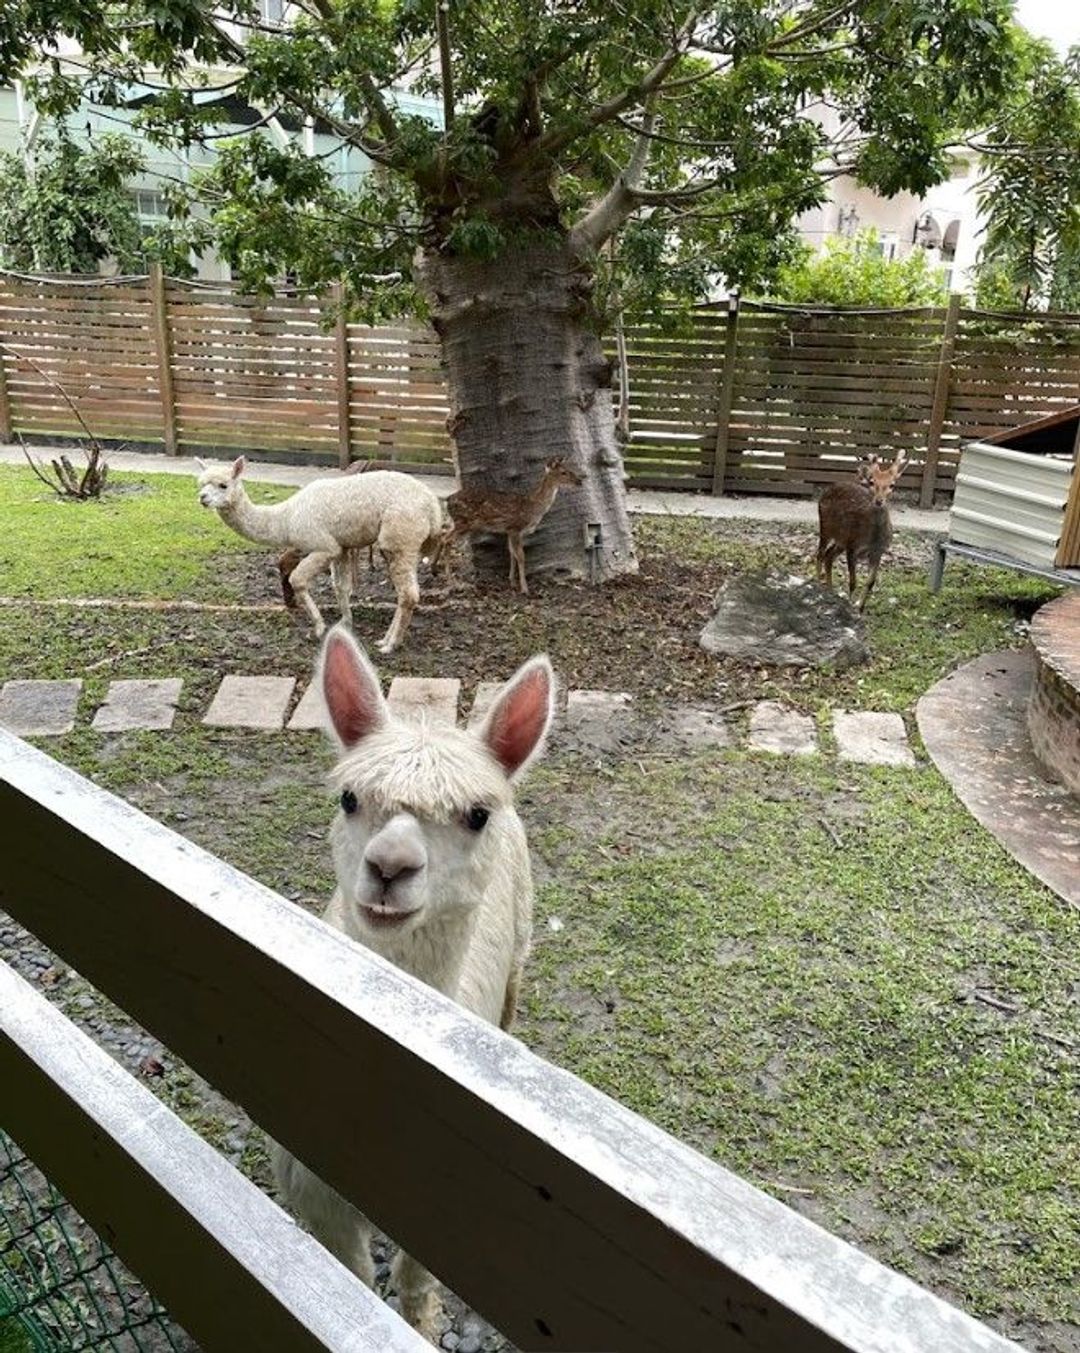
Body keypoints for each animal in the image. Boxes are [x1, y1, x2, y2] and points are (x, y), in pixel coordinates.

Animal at [432, 457, 583, 595]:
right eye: (564, 472)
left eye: (569, 469)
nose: (579, 481)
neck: (533, 506)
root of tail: (448, 499)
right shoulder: (515, 527)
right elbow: (520, 556)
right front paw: (525, 589)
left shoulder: (510, 530)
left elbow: (511, 552)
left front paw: (512, 581)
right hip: (465, 522)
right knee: (447, 540)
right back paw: (451, 579)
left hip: (458, 522)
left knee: (442, 534)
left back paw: (434, 569)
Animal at [815, 451, 908, 611]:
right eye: (872, 482)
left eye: (892, 484)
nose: (879, 501)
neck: (872, 538)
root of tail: (826, 490)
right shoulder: (853, 547)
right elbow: (853, 582)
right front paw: (849, 603)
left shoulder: (878, 551)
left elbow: (870, 582)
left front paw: (860, 608)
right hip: (826, 527)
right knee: (820, 554)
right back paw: (817, 584)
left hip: (842, 539)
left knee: (829, 555)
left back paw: (830, 590)